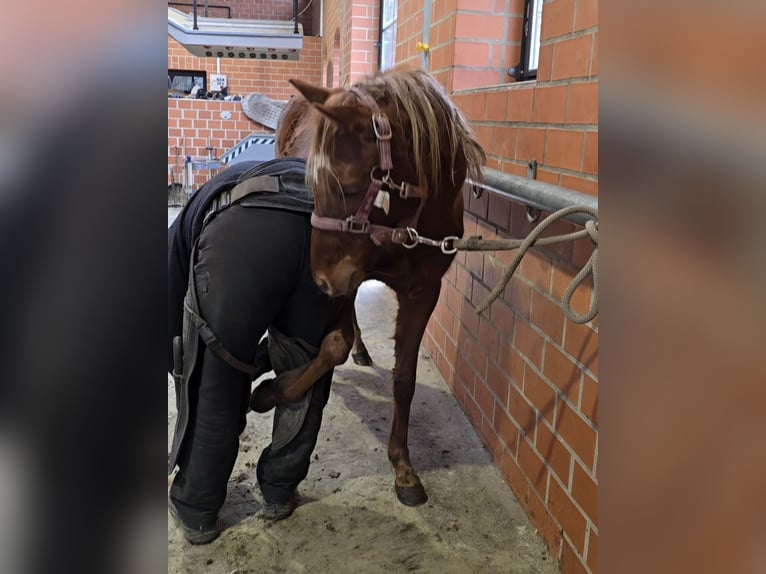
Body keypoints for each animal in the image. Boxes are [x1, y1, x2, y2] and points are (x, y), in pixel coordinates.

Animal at [252, 67, 486, 506]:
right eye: (312, 186)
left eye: (346, 187)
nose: (320, 282)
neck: (408, 222)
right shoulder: (347, 278)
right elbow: (333, 345)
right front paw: (274, 390)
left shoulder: (422, 293)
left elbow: (404, 378)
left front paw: (404, 468)